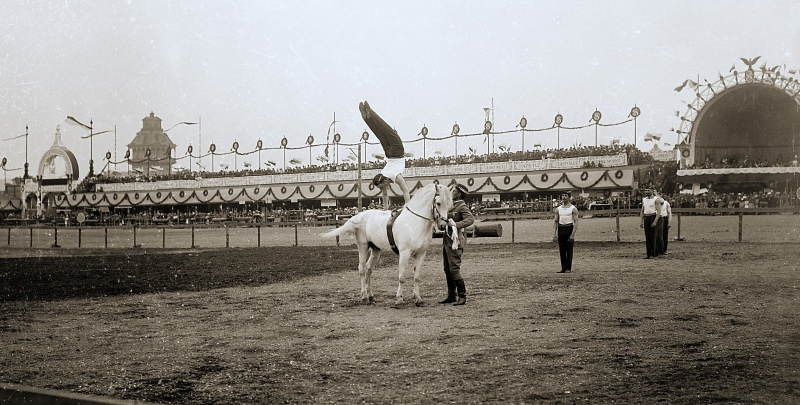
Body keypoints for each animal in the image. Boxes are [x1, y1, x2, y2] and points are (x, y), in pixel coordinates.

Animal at [324, 181, 454, 304]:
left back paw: (371, 296)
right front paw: (399, 299)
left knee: (369, 269)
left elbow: (417, 277)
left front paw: (418, 298)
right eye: (438, 203)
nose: (443, 225)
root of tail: (359, 216)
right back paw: (364, 297)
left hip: (376, 249)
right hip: (363, 247)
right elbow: (402, 277)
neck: (414, 222)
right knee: (361, 269)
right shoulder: (404, 253)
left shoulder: (421, 254)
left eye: (449, 204)